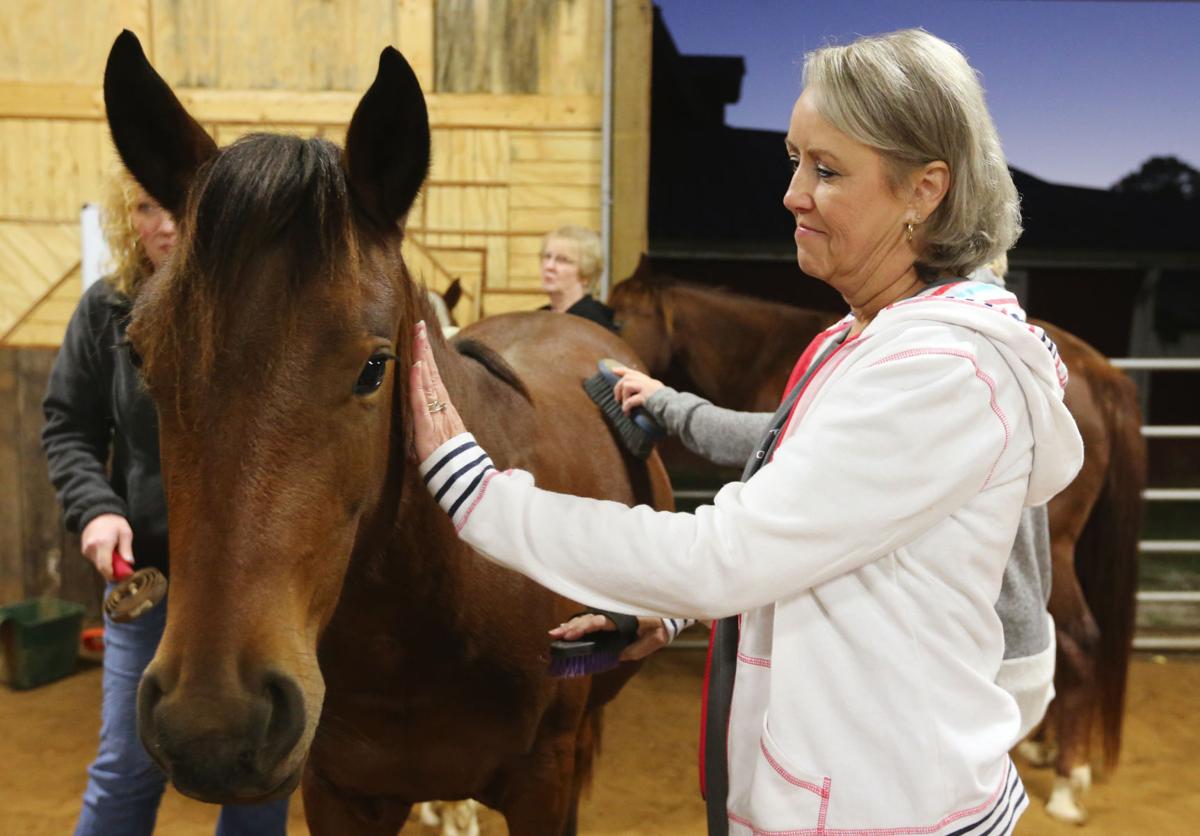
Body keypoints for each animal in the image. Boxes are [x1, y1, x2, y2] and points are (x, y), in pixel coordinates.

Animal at [610, 270, 1146, 825]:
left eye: (620, 317)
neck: (762, 350)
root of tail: (1101, 372)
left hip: (1057, 550)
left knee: (1079, 640)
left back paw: (1067, 780)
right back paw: (1048, 747)